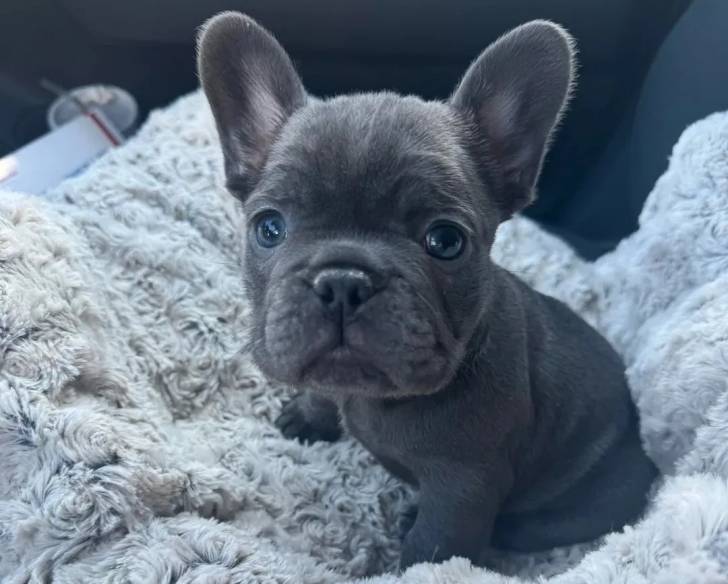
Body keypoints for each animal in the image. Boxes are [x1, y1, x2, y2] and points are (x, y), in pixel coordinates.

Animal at [198, 12, 658, 570]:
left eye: (445, 240)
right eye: (269, 228)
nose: (344, 281)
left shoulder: (463, 487)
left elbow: (435, 546)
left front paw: (412, 563)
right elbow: (323, 392)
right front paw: (309, 416)